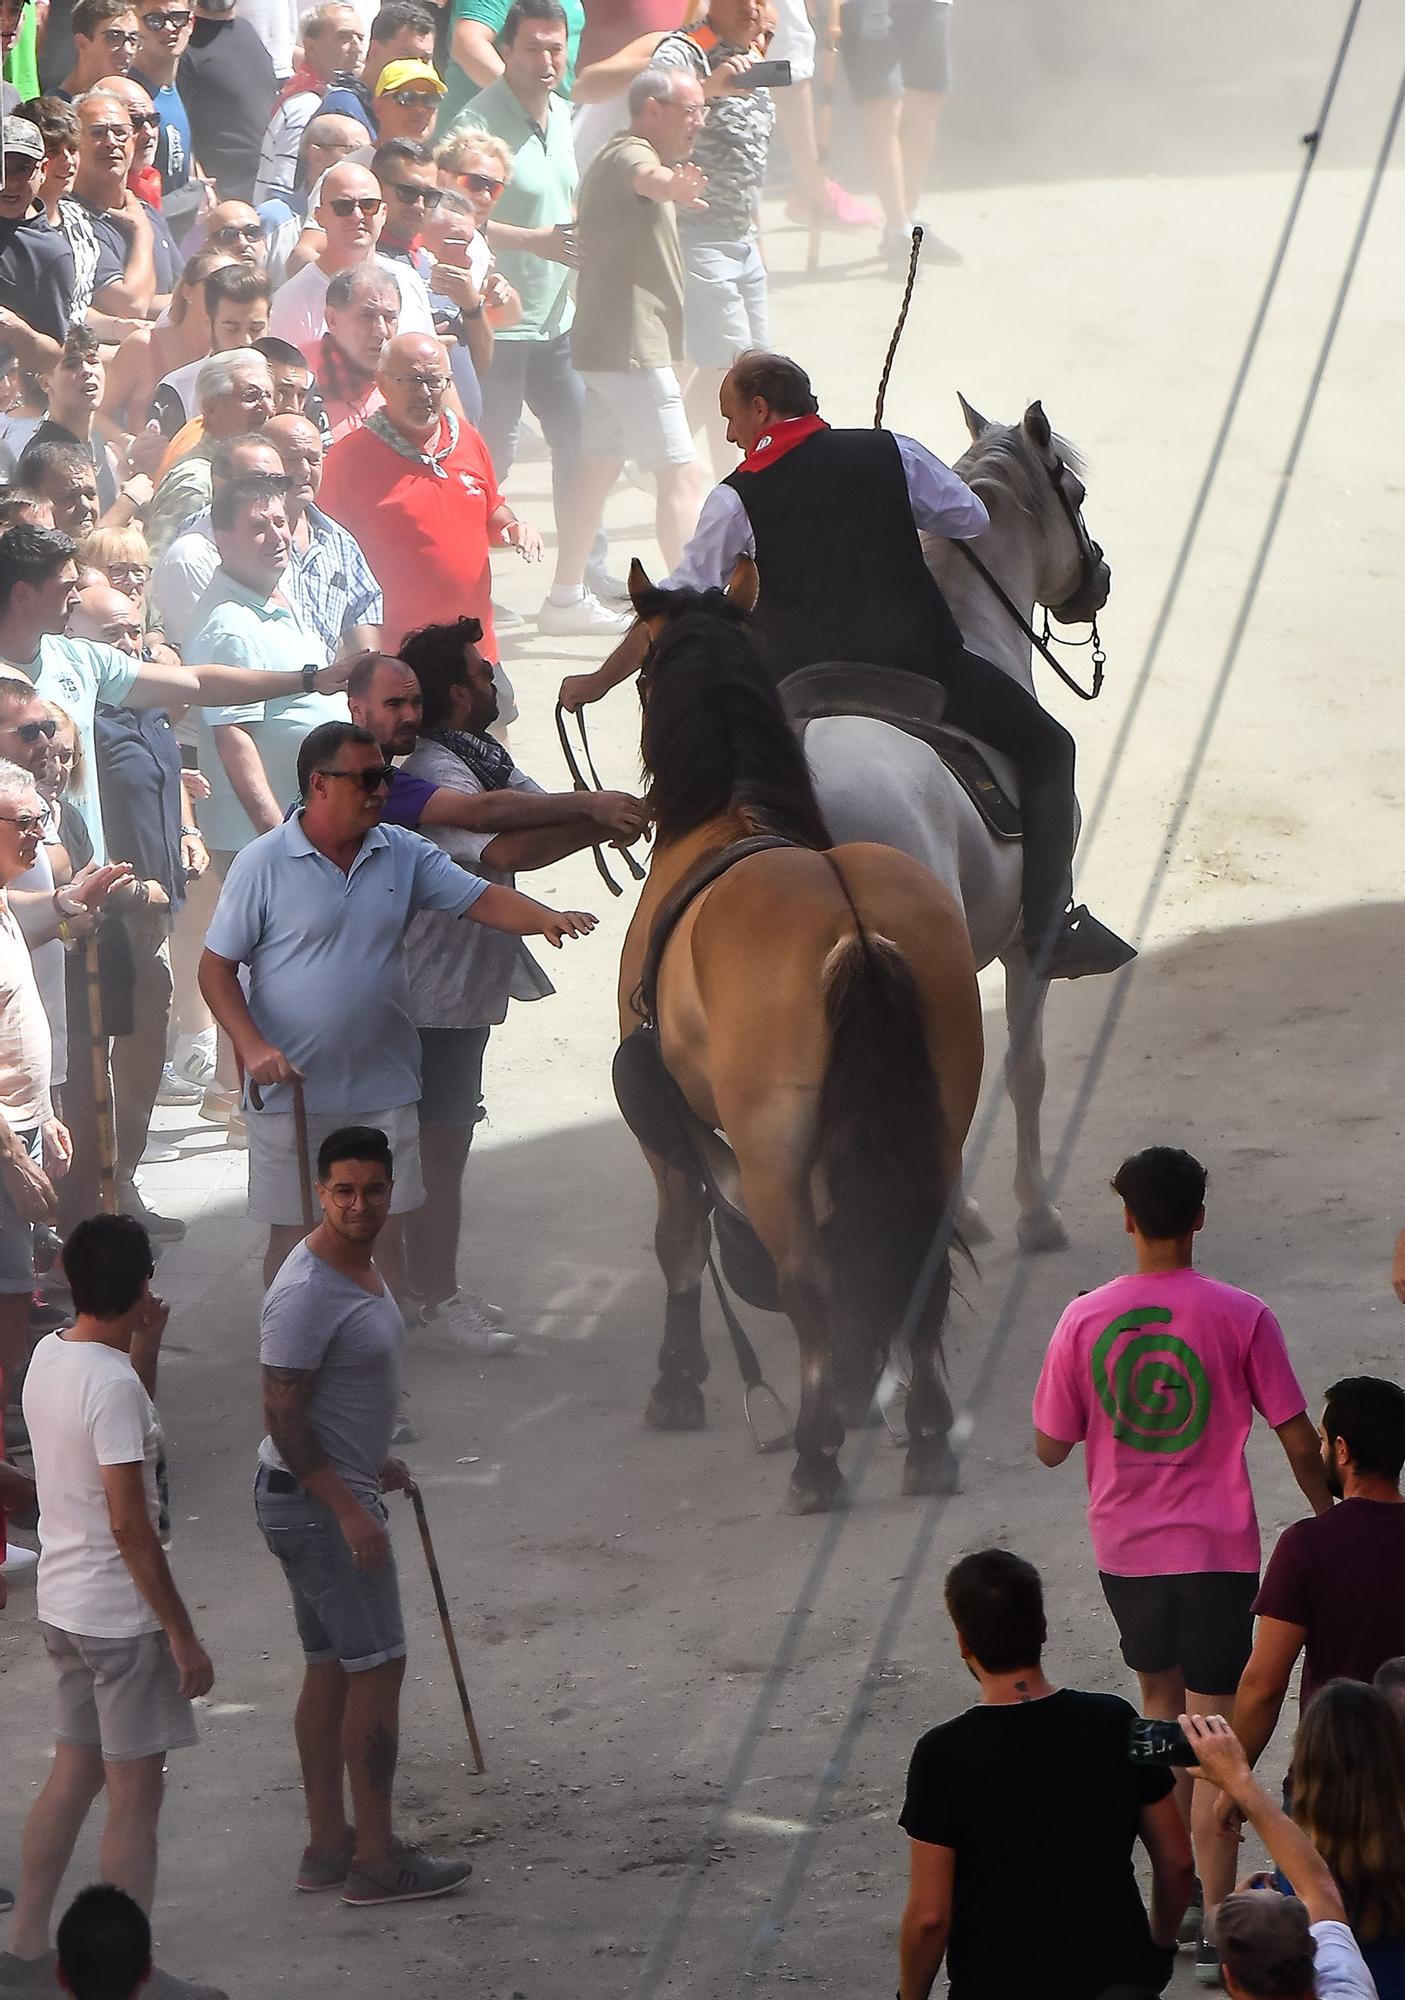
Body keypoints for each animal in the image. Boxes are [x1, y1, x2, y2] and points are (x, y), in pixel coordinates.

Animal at [616, 564, 992, 1512]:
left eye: (641, 670)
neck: (731, 815)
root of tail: (856, 930)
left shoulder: (668, 1125)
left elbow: (680, 1241)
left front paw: (676, 1382)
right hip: (934, 1121)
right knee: (918, 1258)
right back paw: (922, 1435)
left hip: (772, 1148)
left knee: (807, 1281)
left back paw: (817, 1455)